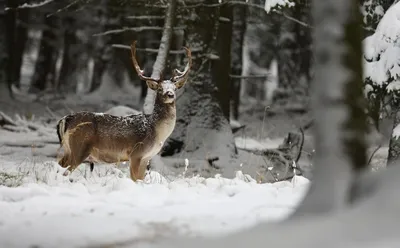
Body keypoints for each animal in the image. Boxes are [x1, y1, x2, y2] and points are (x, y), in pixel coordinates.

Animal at [56, 40, 192, 180]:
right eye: (160, 89)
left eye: (175, 88)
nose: (170, 94)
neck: (156, 132)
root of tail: (66, 119)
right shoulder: (136, 153)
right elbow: (135, 179)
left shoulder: (146, 157)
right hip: (80, 147)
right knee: (65, 171)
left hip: (69, 149)